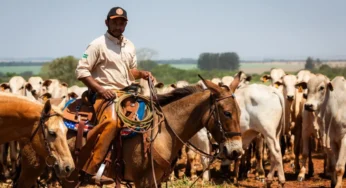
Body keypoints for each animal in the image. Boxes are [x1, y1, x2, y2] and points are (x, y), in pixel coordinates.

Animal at [17, 73, 242, 187]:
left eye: (240, 111)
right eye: (227, 113)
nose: (236, 151)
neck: (163, 131)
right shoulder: (144, 180)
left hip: (68, 174)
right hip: (32, 168)